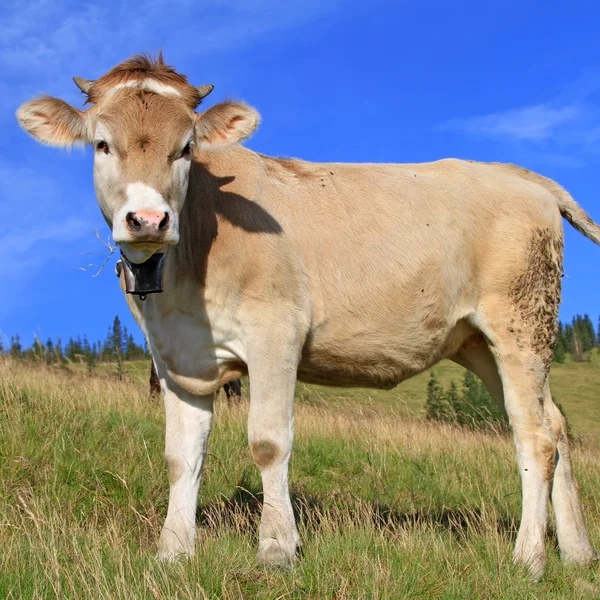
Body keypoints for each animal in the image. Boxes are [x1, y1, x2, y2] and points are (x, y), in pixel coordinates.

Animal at [15, 54, 600, 580]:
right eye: (102, 144)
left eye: (186, 148)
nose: (148, 219)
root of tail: (521, 177)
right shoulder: (176, 357)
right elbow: (181, 456)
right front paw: (173, 552)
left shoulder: (276, 331)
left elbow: (268, 441)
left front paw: (276, 549)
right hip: (477, 341)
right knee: (556, 425)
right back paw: (576, 554)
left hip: (520, 323)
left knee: (534, 435)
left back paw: (529, 559)